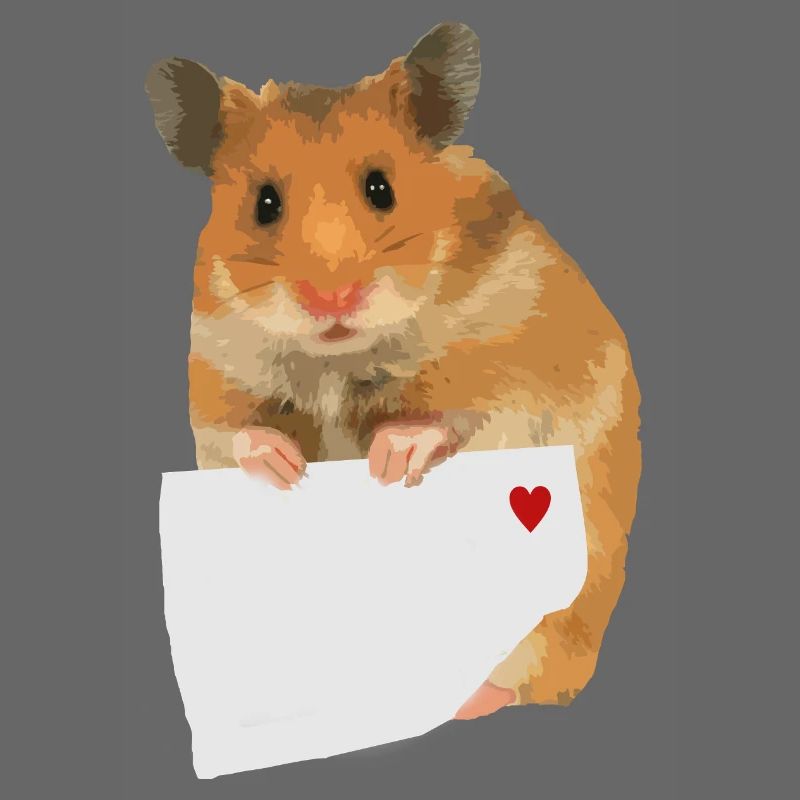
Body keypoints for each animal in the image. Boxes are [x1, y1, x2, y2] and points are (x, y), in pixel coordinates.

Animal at [146, 21, 641, 717]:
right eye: (264, 203)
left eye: (382, 188)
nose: (331, 299)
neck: (340, 357)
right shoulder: (214, 372)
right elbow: (239, 433)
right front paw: (287, 468)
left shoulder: (520, 367)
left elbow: (460, 417)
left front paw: (387, 458)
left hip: (571, 607)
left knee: (537, 675)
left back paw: (468, 700)